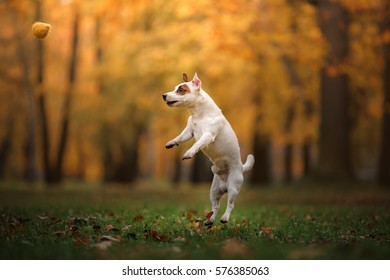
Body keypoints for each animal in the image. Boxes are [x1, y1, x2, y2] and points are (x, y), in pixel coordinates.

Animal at [161, 72, 253, 225]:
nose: (163, 95)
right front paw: (171, 142)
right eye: (175, 88)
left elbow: (197, 145)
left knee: (230, 204)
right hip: (214, 191)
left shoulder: (208, 135)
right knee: (215, 206)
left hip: (234, 186)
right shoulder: (189, 132)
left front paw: (189, 153)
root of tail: (241, 167)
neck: (199, 114)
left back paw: (224, 218)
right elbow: (180, 137)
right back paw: (210, 220)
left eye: (181, 89)